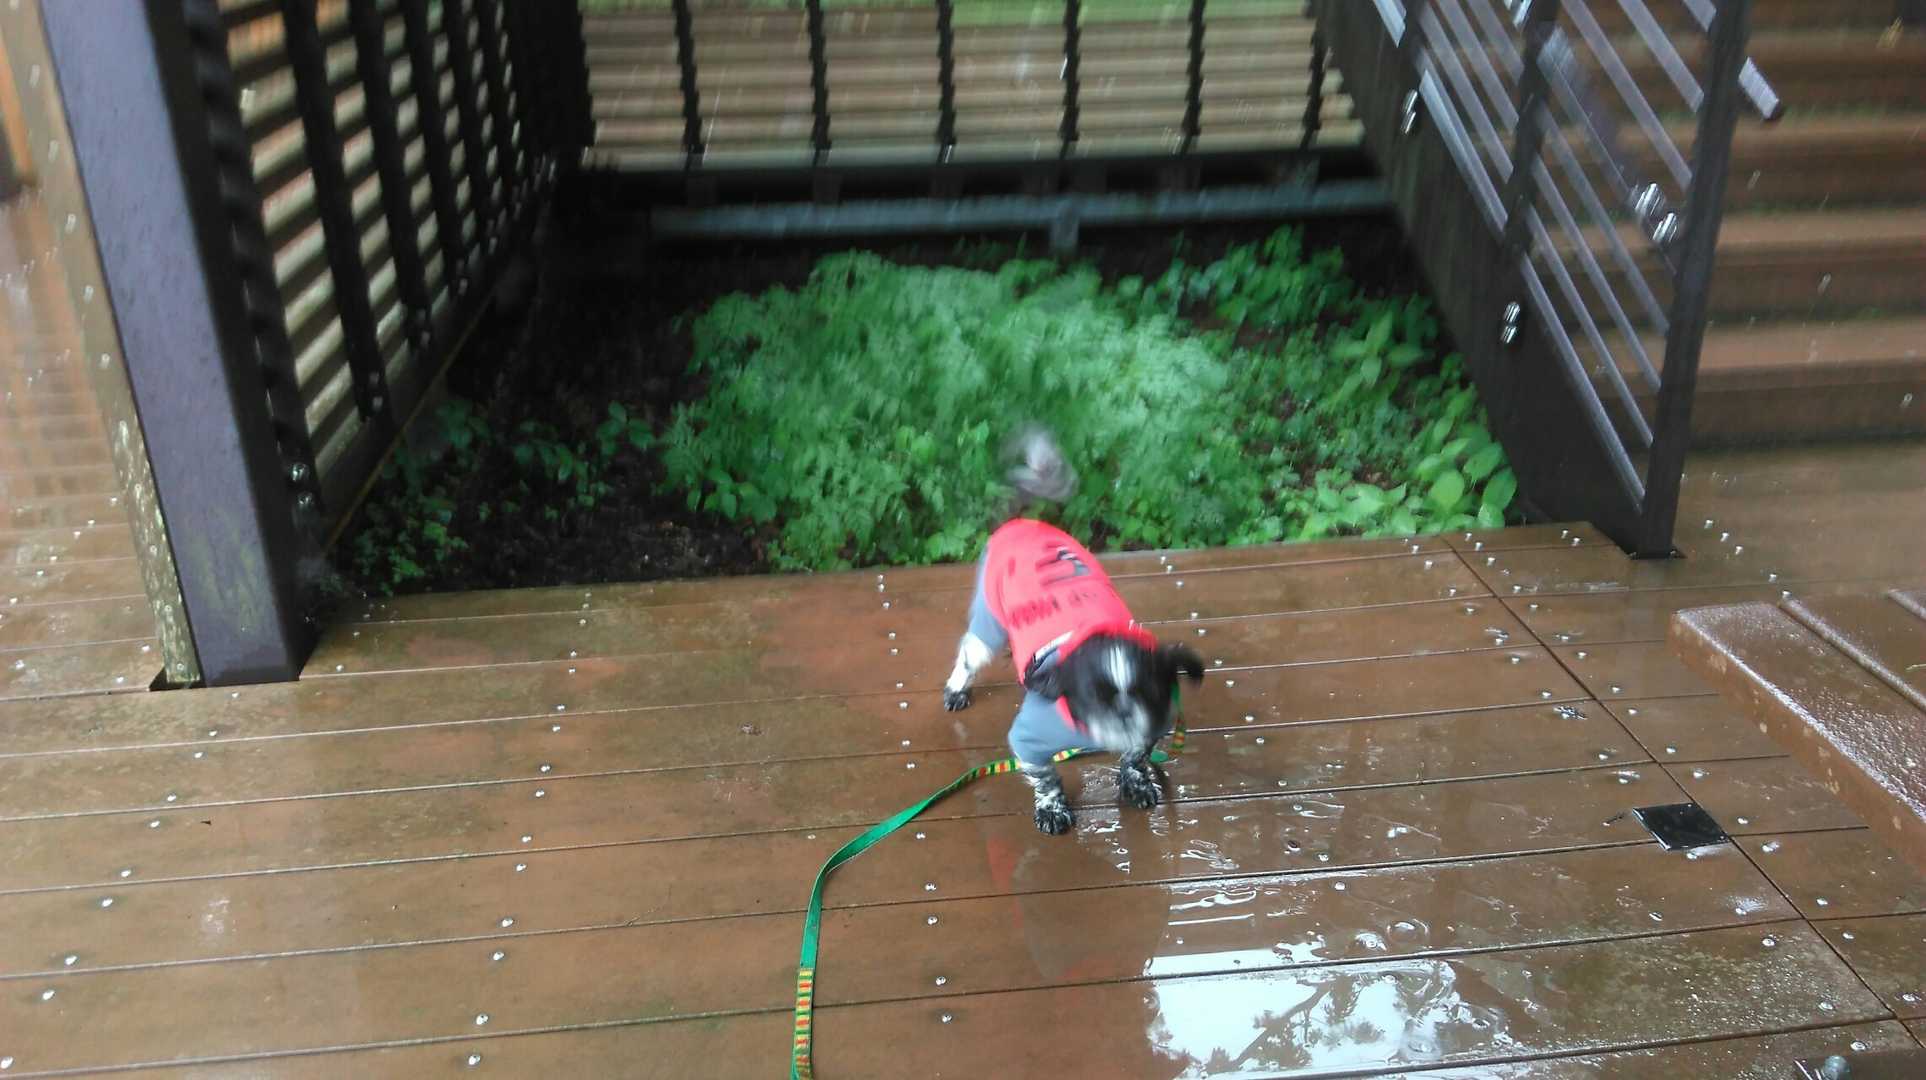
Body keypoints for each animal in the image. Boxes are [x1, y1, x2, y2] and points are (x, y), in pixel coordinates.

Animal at [942, 429, 1204, 835]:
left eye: (1147, 692)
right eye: (1093, 696)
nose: (1123, 712)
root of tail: (1023, 523)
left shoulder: (1152, 726)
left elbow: (1135, 755)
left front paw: (1135, 781)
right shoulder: (1029, 740)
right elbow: (1046, 776)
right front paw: (1052, 808)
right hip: (988, 620)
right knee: (970, 654)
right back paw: (957, 689)